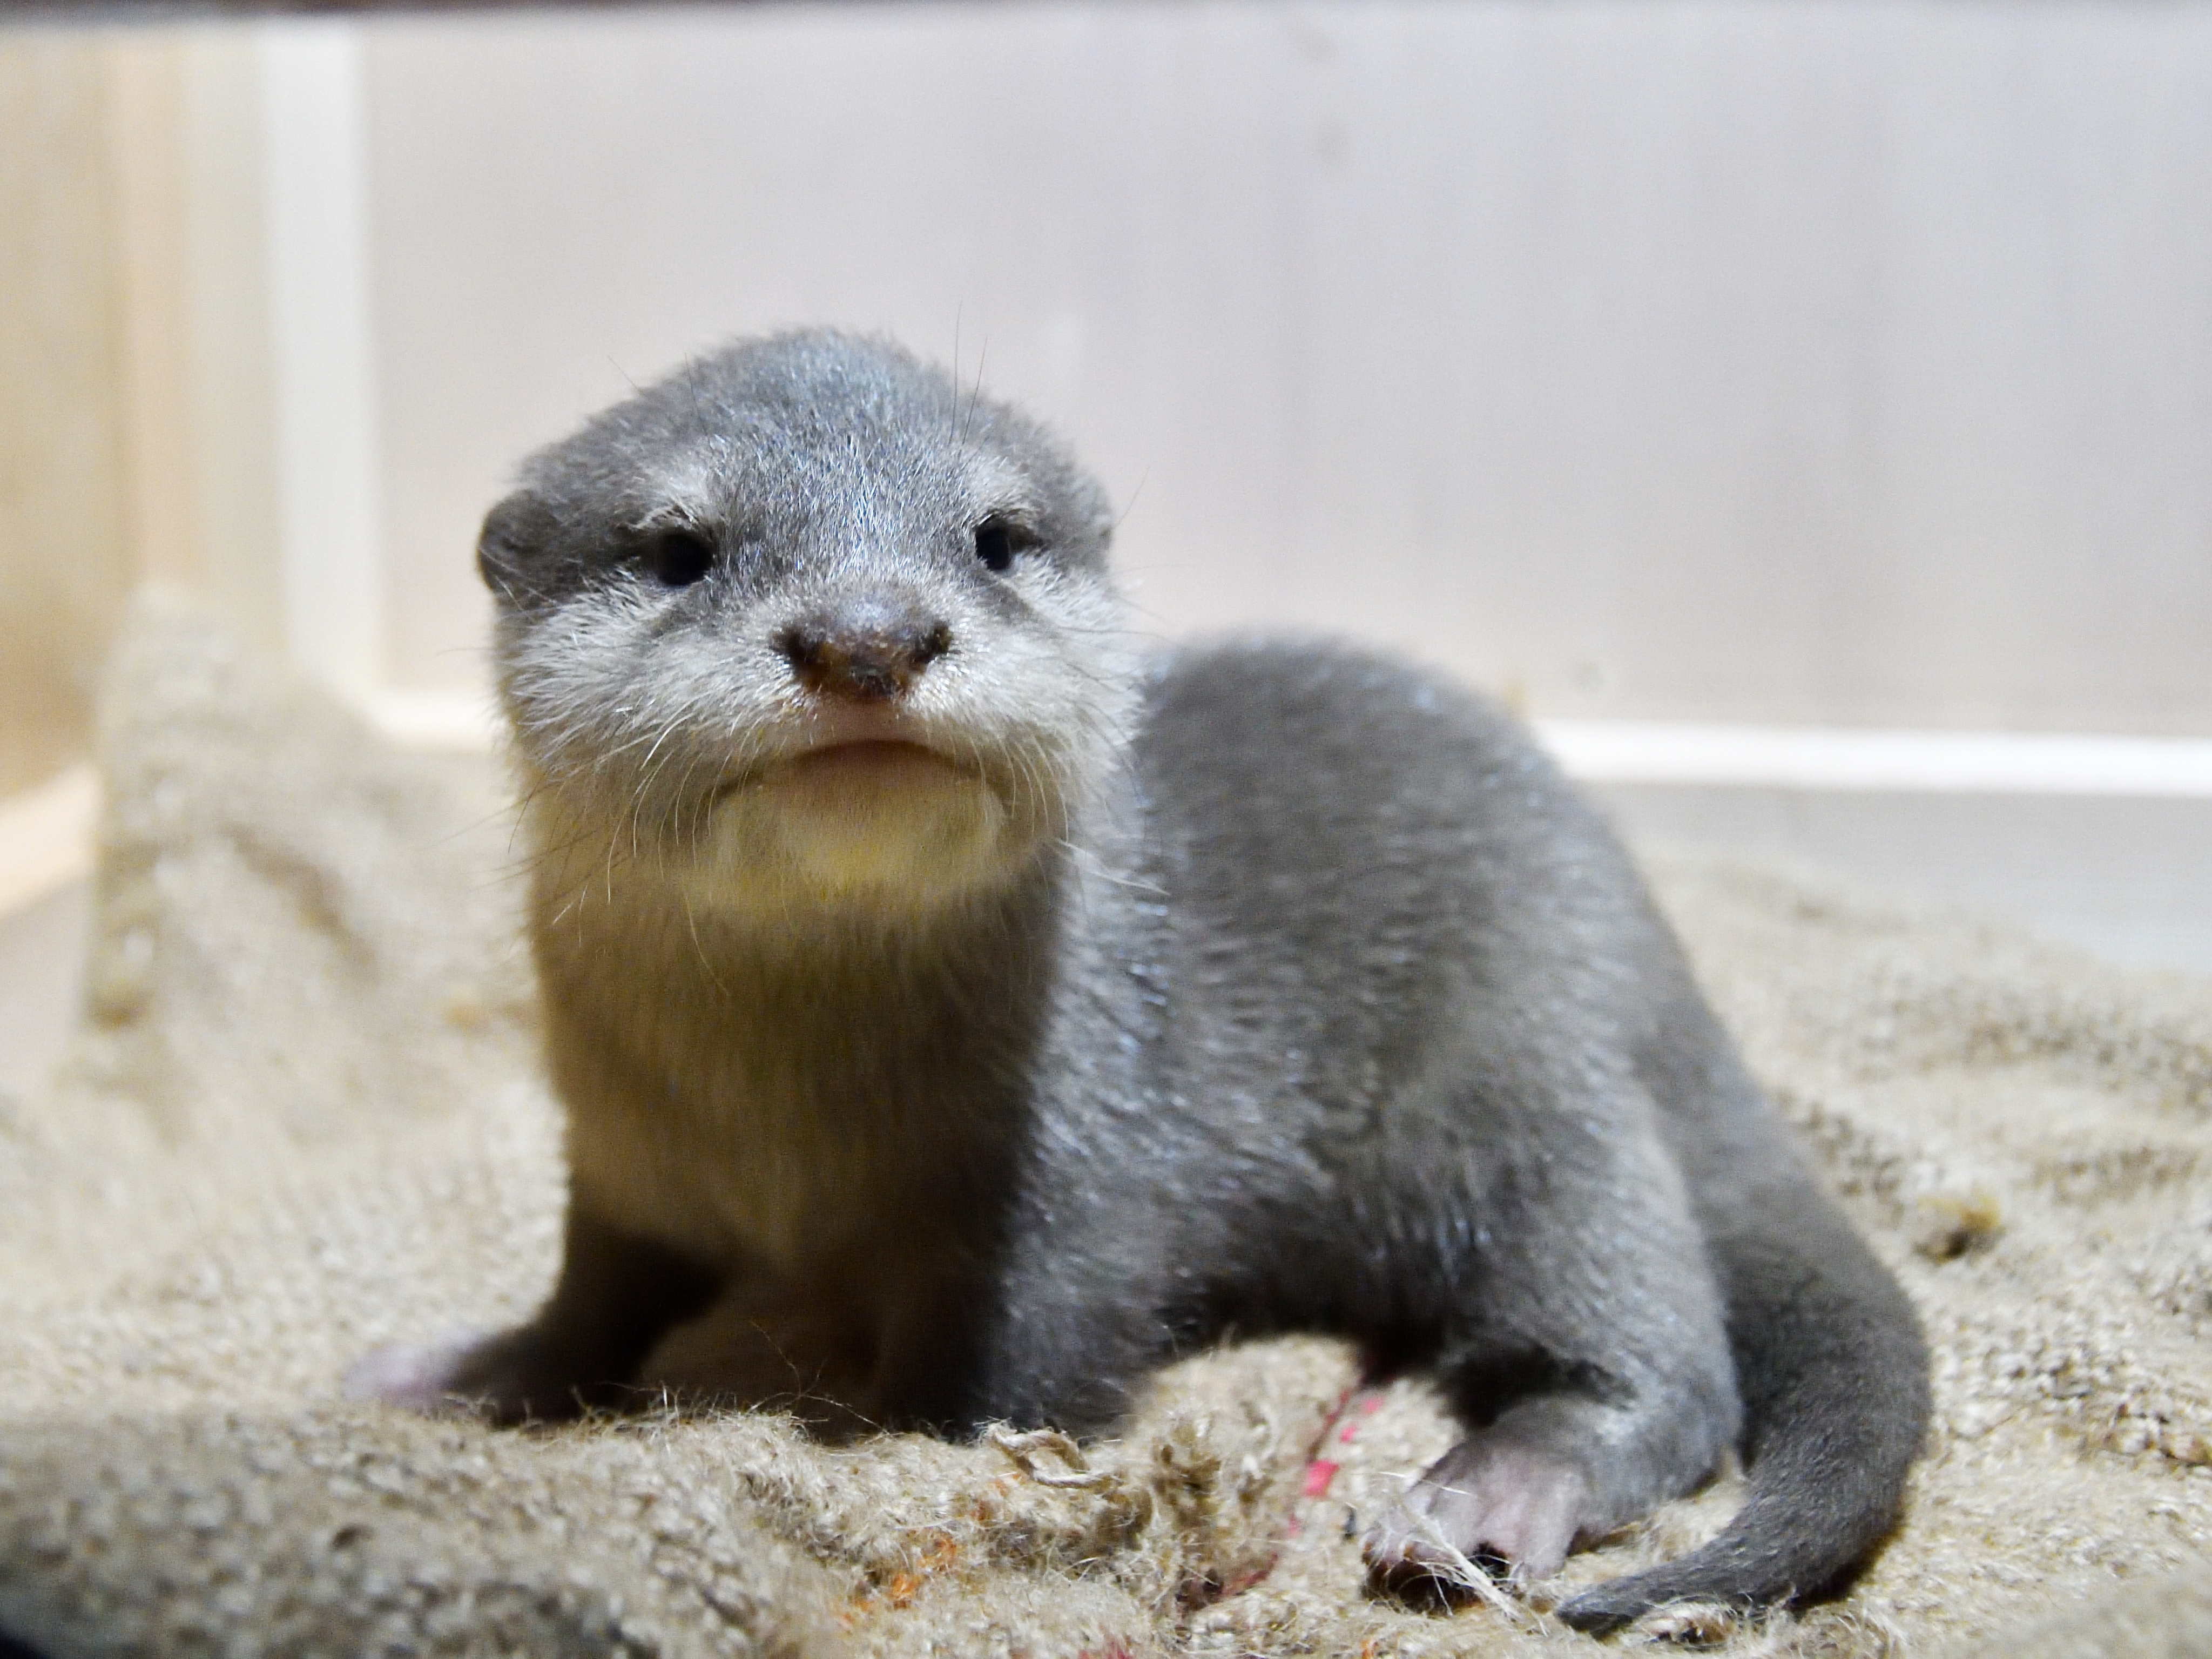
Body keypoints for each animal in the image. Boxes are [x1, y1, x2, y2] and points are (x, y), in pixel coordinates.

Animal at [354, 332, 1928, 1628]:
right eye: (679, 547)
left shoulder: (1070, 1203)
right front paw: (465, 1375)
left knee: (1659, 1357)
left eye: (996, 538)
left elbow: (996, 1390)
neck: (782, 1127)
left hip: (1528, 1092)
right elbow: (588, 1303)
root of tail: (1654, 949)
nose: (868, 634)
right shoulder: (622, 1158)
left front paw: (894, 1456)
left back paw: (1482, 1494)